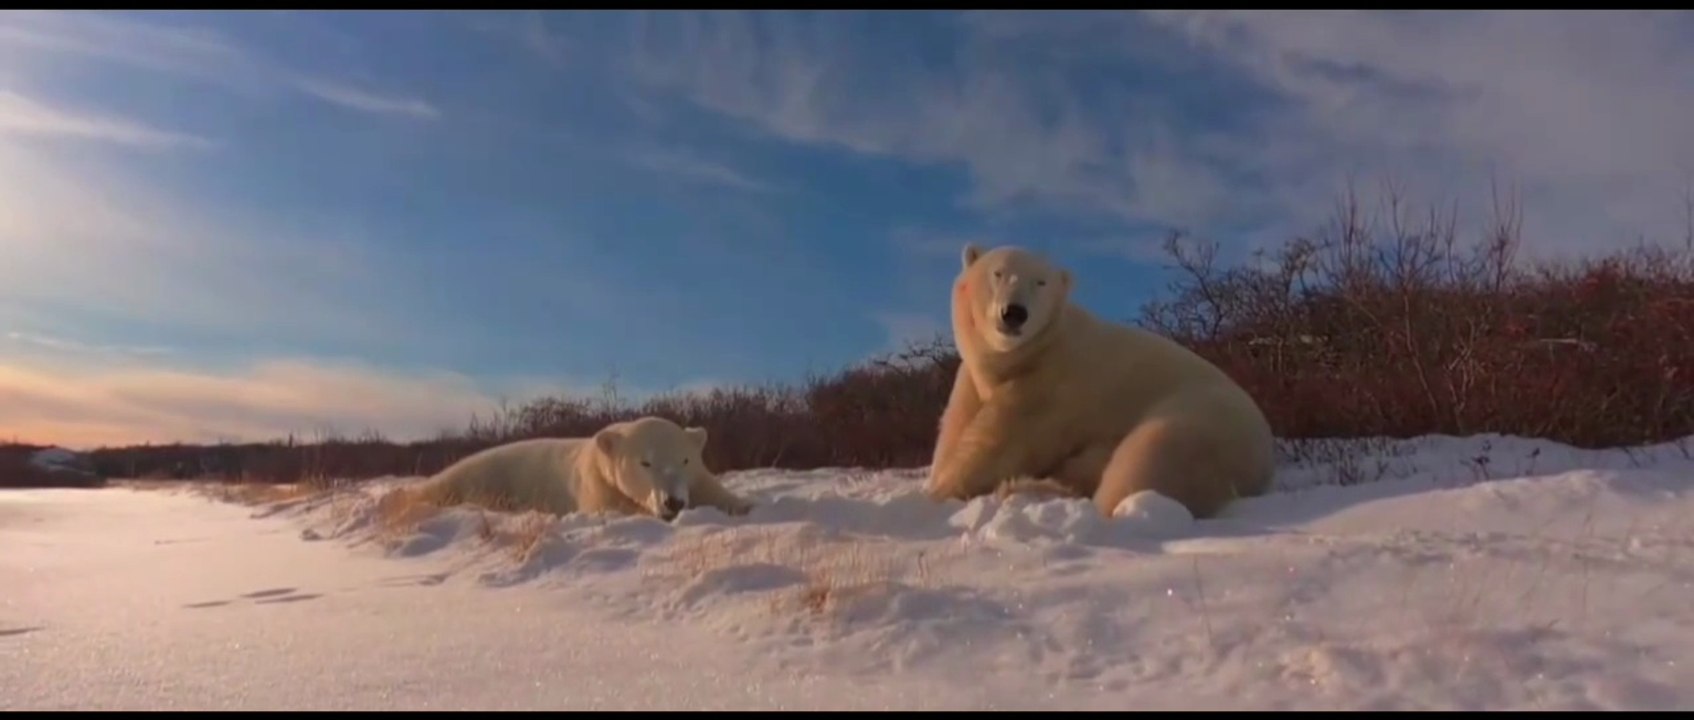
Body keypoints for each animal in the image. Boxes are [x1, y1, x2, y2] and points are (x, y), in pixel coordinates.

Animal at [415, 416, 753, 521]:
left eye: (685, 459)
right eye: (645, 462)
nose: (674, 502)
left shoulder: (696, 478)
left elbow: (713, 490)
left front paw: (745, 506)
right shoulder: (596, 484)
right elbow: (610, 508)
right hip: (480, 478)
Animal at [925, 243, 1276, 520]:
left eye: (1040, 282)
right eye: (997, 273)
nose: (1014, 312)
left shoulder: (1048, 385)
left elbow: (997, 444)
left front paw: (943, 492)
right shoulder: (970, 383)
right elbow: (955, 431)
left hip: (1200, 420)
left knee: (1147, 459)